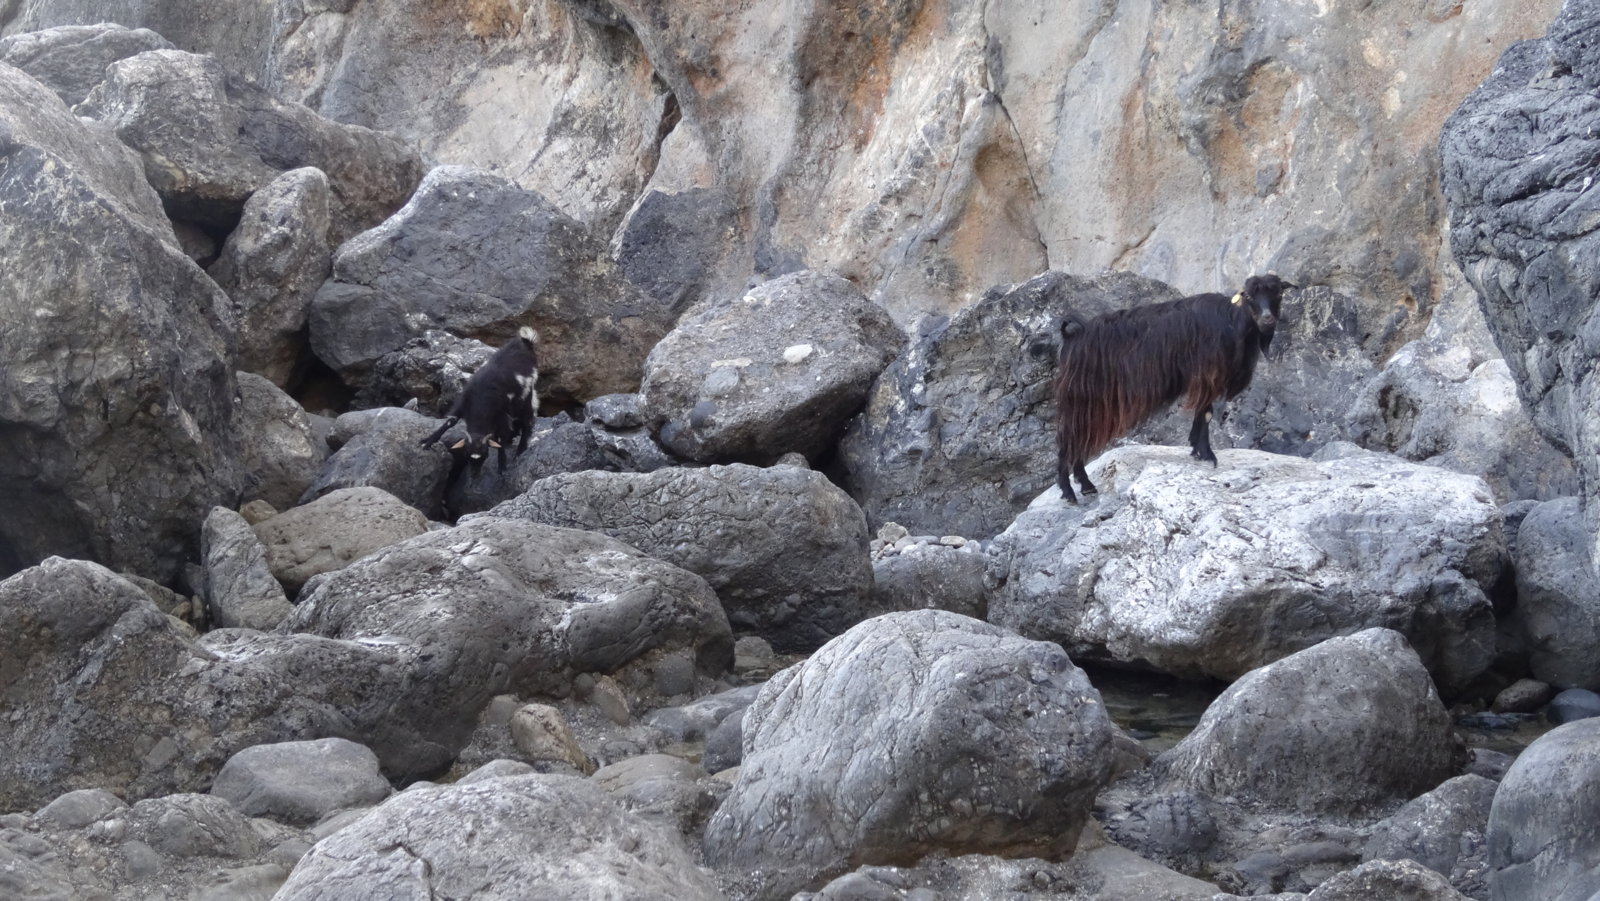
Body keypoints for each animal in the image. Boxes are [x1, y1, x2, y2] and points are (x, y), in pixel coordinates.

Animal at [422, 328, 540, 476]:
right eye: (466, 454)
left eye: (485, 454)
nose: (474, 475)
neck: (481, 402)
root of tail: (526, 345)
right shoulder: (463, 403)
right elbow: (450, 422)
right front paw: (428, 441)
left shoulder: (500, 414)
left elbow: (500, 438)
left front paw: (502, 465)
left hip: (526, 396)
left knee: (528, 420)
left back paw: (521, 449)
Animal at [1056, 272, 1292, 505]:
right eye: (1250, 297)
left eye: (1279, 293)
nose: (1267, 319)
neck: (1232, 320)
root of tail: (1072, 336)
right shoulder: (1207, 376)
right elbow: (1206, 413)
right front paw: (1207, 454)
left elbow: (1203, 413)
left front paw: (1196, 449)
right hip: (1083, 397)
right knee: (1068, 436)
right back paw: (1069, 491)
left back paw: (1085, 485)